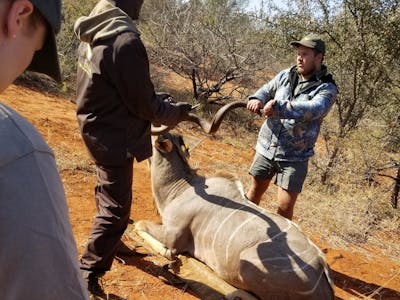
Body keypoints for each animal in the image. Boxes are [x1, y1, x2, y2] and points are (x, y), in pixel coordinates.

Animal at [138, 114, 334, 298]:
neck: (182, 188)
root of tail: (321, 269)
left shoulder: (172, 237)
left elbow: (141, 226)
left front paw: (168, 256)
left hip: (247, 267)